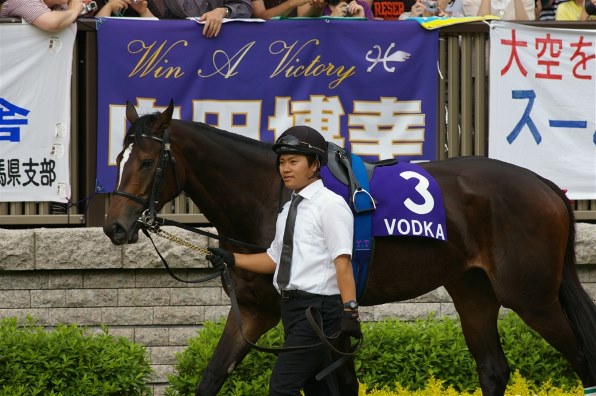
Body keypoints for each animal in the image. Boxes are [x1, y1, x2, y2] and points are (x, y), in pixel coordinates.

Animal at [103, 102, 596, 396]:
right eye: (118, 159)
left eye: (146, 161)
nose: (115, 226)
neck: (273, 196)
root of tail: (546, 184)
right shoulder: (256, 311)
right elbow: (212, 376)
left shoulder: (312, 316)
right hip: (473, 290)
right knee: (493, 369)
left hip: (531, 296)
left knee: (582, 358)